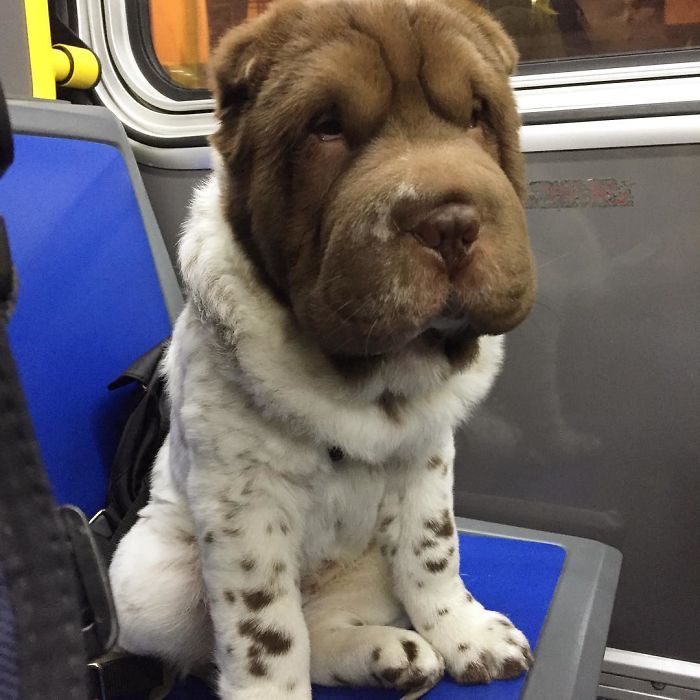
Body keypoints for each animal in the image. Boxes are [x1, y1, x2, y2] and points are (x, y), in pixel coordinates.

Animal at [109, 0, 536, 696]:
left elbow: (433, 554)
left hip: (364, 569)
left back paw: (391, 653)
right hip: (151, 580)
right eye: (326, 129)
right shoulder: (244, 504)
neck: (371, 376)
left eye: (477, 114)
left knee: (329, 619)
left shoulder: (426, 459)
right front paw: (270, 688)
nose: (450, 223)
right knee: (236, 638)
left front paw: (469, 636)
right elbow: (264, 632)